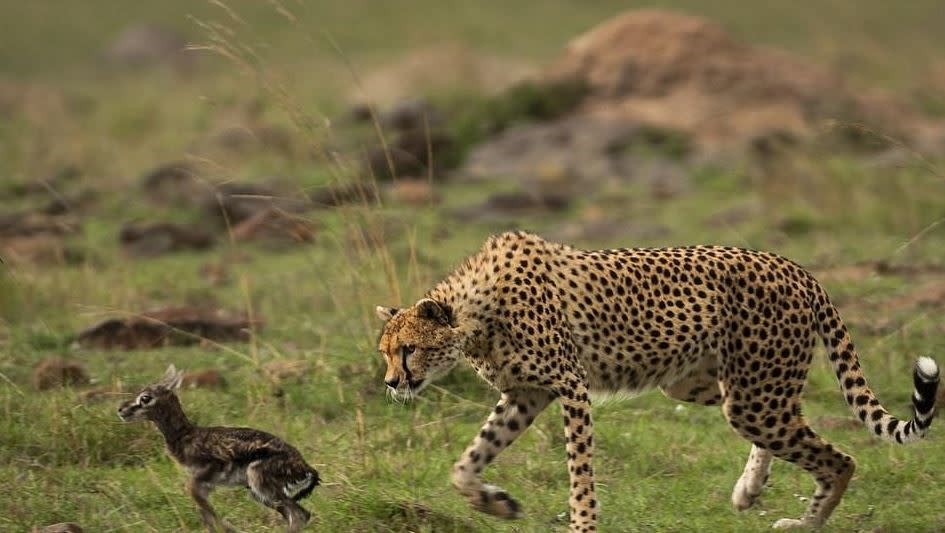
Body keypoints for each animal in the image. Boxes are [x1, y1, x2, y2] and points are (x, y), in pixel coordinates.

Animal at [374, 231, 936, 528]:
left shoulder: (569, 387)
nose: (392, 384)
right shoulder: (525, 395)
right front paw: (494, 502)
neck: (475, 311)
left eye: (410, 349)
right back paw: (750, 490)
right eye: (385, 352)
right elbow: (467, 462)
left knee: (839, 459)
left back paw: (804, 524)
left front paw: (584, 523)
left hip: (753, 395)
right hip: (709, 385)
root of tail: (794, 266)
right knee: (788, 427)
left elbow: (580, 470)